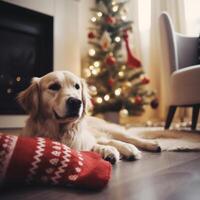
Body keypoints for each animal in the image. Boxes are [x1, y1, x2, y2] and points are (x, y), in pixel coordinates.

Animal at [17, 70, 161, 164]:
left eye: (77, 86)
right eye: (54, 87)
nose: (76, 102)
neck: (62, 131)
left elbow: (100, 143)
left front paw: (111, 150)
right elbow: (92, 146)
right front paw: (107, 151)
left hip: (109, 129)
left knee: (129, 138)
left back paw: (149, 145)